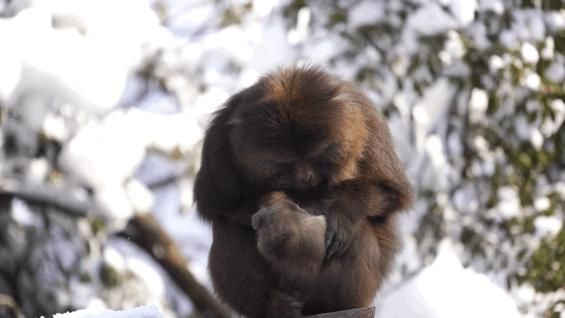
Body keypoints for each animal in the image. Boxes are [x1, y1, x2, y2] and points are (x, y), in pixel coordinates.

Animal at [194, 66, 414, 316]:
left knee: (357, 232)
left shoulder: (368, 120)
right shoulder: (219, 138)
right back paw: (275, 301)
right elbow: (217, 203)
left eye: (316, 154)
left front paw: (342, 210)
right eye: (283, 161)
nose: (305, 177)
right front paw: (284, 215)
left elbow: (390, 191)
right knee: (229, 226)